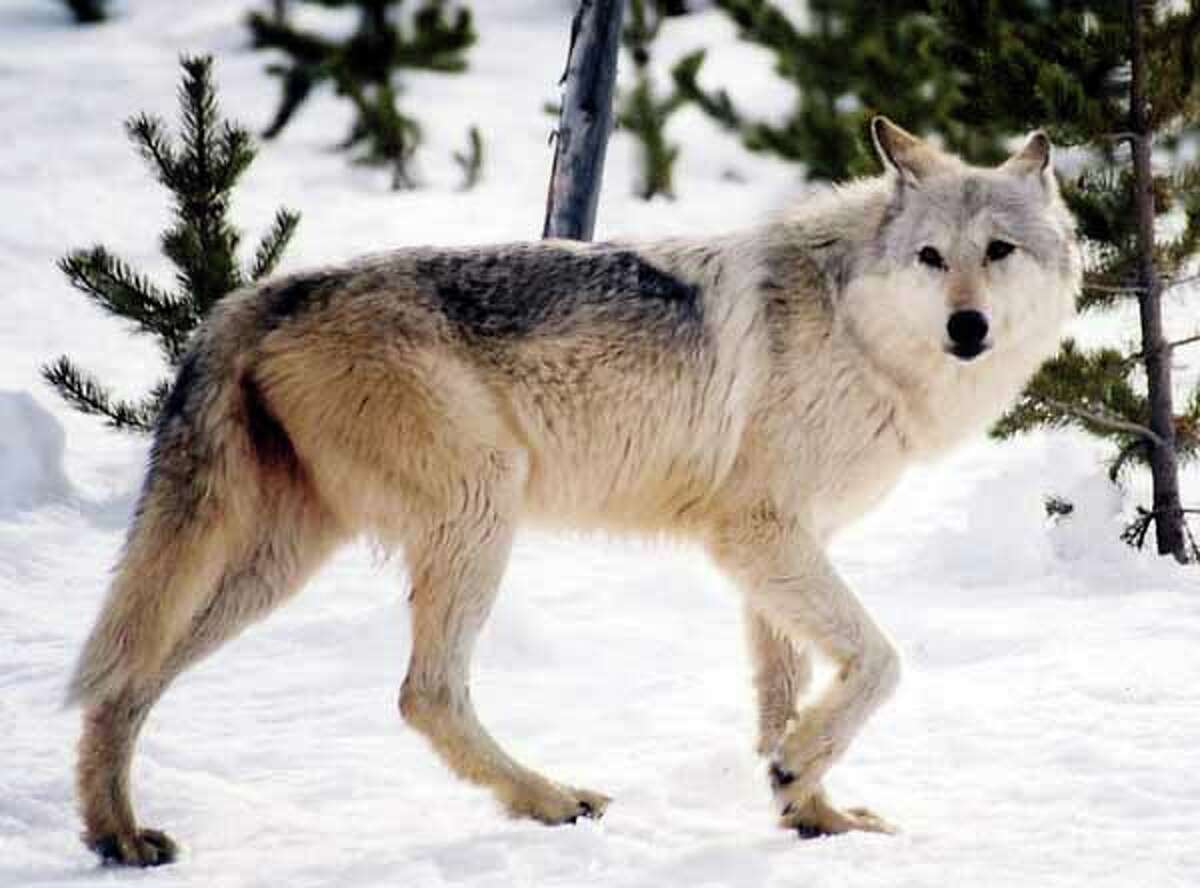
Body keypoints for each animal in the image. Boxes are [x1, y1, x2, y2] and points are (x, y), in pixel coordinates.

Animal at [68, 118, 1080, 865]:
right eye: (931, 257)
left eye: (998, 251)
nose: (967, 327)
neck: (853, 328)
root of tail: (253, 297)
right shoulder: (756, 534)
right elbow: (878, 663)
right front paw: (799, 776)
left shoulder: (778, 548)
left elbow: (783, 696)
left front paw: (812, 812)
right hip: (479, 510)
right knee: (424, 694)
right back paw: (549, 800)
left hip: (277, 562)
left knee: (124, 682)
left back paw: (116, 836)